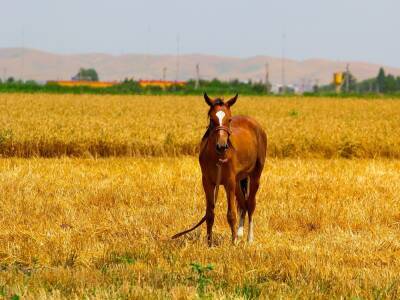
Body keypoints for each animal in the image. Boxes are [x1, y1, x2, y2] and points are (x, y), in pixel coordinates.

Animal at [171, 94, 266, 246]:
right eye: (211, 119)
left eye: (229, 119)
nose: (222, 146)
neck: (217, 156)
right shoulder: (208, 182)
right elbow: (210, 213)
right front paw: (209, 243)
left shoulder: (229, 183)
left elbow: (231, 214)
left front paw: (233, 243)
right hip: (238, 180)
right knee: (243, 204)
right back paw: (240, 234)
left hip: (255, 175)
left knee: (250, 204)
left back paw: (249, 239)